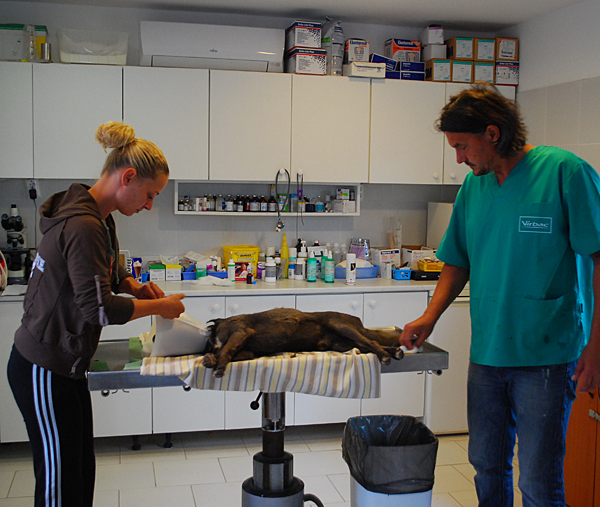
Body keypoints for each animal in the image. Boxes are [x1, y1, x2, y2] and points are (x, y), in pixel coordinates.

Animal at [202, 307, 404, 377]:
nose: (207, 350)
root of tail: (359, 322)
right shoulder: (248, 352)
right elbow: (227, 353)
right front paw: (211, 359)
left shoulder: (240, 332)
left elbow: (225, 350)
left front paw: (217, 364)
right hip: (342, 344)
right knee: (370, 343)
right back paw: (394, 352)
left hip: (340, 325)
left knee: (372, 342)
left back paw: (386, 356)